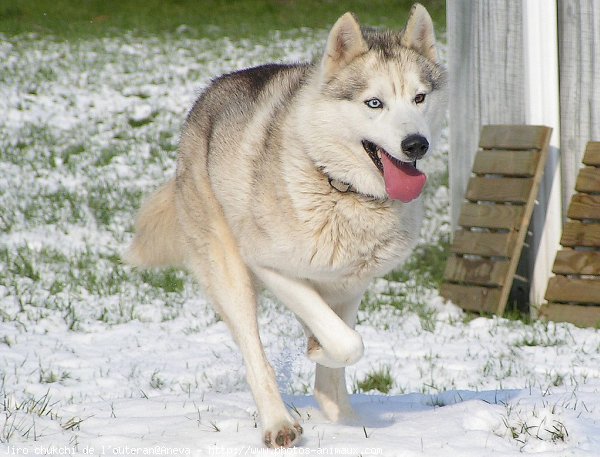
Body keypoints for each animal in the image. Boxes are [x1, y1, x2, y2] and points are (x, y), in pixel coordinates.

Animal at [126, 2, 446, 446]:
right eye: (374, 103)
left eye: (419, 97)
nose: (416, 144)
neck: (337, 186)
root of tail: (208, 94)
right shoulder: (270, 266)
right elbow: (348, 343)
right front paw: (318, 349)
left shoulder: (352, 284)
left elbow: (338, 354)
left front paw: (332, 392)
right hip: (231, 276)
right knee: (255, 358)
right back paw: (278, 422)